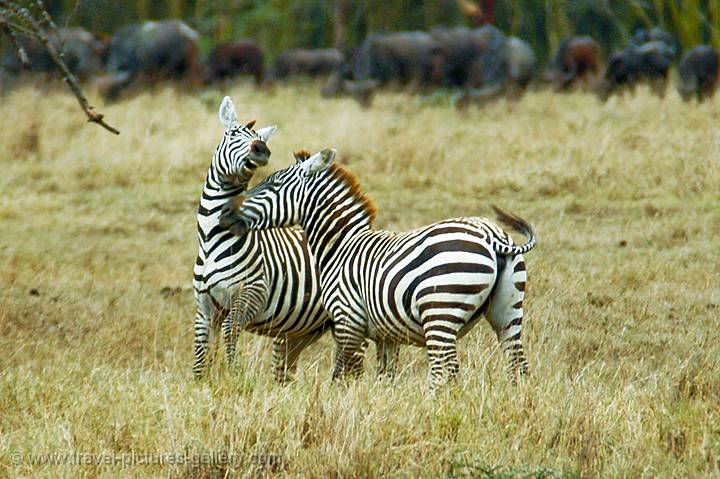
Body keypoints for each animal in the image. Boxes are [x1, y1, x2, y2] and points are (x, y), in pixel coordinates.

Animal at [195, 96, 334, 382]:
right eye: (233, 133)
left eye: (261, 139)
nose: (260, 149)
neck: (211, 239)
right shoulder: (204, 307)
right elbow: (200, 355)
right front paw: (201, 383)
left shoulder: (249, 295)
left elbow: (229, 335)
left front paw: (232, 377)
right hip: (301, 330)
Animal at [219, 149, 536, 390]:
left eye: (271, 185)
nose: (226, 213)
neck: (340, 245)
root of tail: (491, 235)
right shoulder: (387, 335)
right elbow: (385, 376)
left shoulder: (348, 320)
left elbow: (343, 373)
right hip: (507, 313)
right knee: (517, 365)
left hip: (440, 312)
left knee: (444, 371)